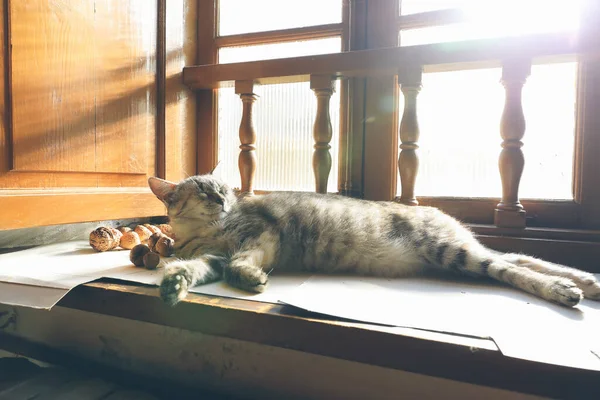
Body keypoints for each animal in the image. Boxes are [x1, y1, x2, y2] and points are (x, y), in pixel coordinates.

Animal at [146, 173, 600, 308]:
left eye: (223, 188)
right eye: (203, 190)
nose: (223, 198)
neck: (206, 233)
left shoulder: (260, 236)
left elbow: (241, 262)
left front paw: (251, 278)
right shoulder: (212, 257)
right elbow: (192, 268)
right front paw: (172, 284)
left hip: (451, 252)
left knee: (510, 266)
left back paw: (565, 289)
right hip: (458, 253)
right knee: (519, 257)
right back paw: (586, 281)